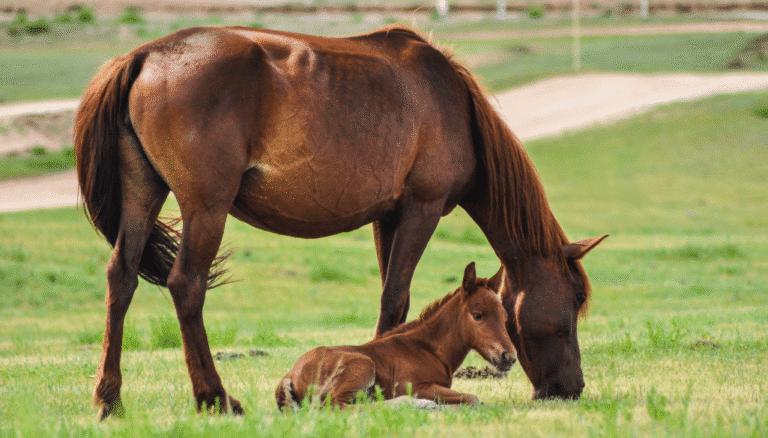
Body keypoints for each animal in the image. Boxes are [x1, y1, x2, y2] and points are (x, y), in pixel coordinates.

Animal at [275, 262, 515, 410]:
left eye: (505, 317)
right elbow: (472, 398)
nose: (509, 358)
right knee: (336, 406)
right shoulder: (414, 385)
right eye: (477, 315)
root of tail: (290, 374)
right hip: (363, 365)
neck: (428, 349)